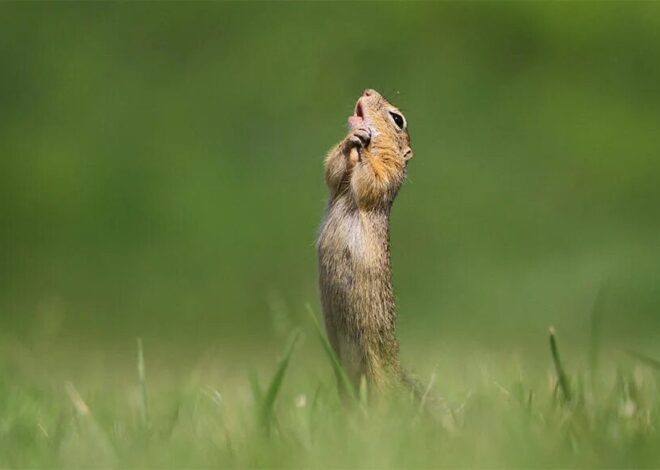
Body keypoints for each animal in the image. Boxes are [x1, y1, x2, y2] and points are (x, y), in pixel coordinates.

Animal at [316, 88, 412, 392]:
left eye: (398, 119)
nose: (367, 91)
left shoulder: (388, 174)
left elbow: (372, 180)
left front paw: (363, 145)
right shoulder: (338, 180)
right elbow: (333, 170)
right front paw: (351, 141)